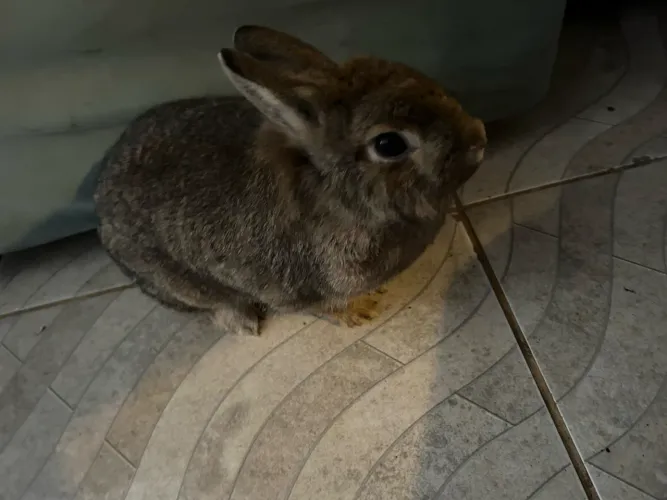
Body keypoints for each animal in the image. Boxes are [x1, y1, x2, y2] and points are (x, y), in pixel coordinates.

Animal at [94, 25, 487, 336]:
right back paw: (243, 322)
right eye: (389, 144)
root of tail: (99, 207)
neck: (338, 196)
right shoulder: (290, 290)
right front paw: (360, 312)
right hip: (179, 284)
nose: (479, 139)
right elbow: (320, 307)